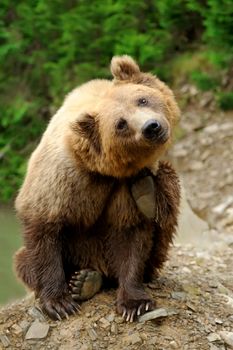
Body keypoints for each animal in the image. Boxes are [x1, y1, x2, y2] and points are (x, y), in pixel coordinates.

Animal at [14, 55, 181, 322]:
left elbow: (132, 235)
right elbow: (44, 228)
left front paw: (134, 303)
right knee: (23, 260)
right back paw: (82, 280)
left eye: (142, 99)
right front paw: (59, 303)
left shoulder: (125, 185)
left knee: (166, 188)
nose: (151, 127)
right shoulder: (62, 178)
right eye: (121, 124)